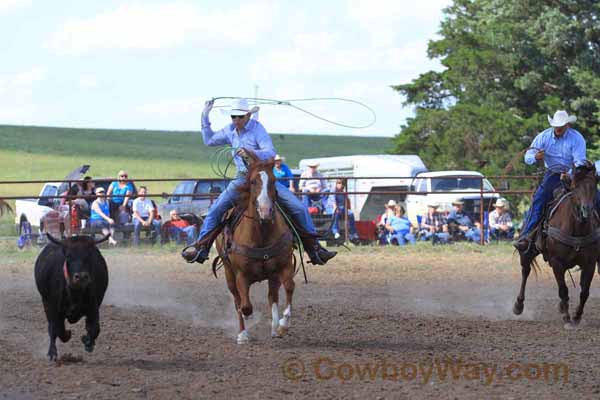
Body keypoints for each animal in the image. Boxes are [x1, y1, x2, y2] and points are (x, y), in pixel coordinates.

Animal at [216, 154, 296, 344]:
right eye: (252, 181)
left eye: (274, 181)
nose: (266, 211)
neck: (261, 234)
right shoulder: (240, 275)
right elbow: (245, 305)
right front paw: (246, 325)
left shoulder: (284, 266)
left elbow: (289, 287)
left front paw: (282, 326)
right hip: (229, 274)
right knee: (238, 300)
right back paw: (242, 334)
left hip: (272, 276)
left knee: (272, 297)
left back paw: (274, 328)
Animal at [510, 161, 600, 326]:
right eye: (575, 187)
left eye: (593, 185)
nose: (586, 209)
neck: (577, 229)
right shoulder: (557, 262)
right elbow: (563, 290)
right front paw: (567, 317)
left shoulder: (589, 263)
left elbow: (584, 291)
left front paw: (577, 316)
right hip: (527, 249)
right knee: (525, 271)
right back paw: (518, 305)